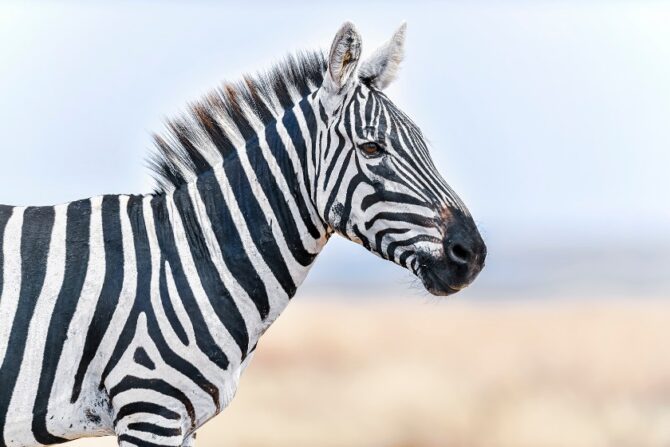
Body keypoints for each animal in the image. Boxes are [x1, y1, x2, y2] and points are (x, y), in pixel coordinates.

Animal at [0, 21, 486, 447]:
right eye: (371, 148)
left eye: (422, 145)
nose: (473, 254)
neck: (193, 259)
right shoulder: (149, 407)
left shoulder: (182, 421)